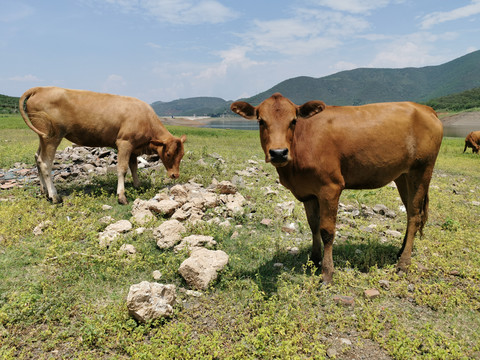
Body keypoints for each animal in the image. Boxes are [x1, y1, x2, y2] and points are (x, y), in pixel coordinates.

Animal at [17, 87, 186, 204]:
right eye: (168, 154)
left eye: (182, 155)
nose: (175, 175)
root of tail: (41, 88)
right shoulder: (124, 143)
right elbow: (122, 169)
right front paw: (121, 196)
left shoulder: (133, 147)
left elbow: (134, 167)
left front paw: (138, 185)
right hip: (52, 136)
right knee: (45, 163)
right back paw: (54, 196)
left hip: (43, 137)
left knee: (37, 157)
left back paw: (44, 191)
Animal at [232, 93, 442, 284]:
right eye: (261, 121)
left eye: (293, 121)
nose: (278, 153)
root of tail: (425, 108)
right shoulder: (309, 192)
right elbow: (313, 225)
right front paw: (314, 259)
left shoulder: (331, 187)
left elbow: (327, 230)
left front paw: (327, 273)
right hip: (402, 175)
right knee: (410, 211)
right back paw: (400, 252)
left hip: (422, 169)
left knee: (414, 215)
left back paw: (404, 263)